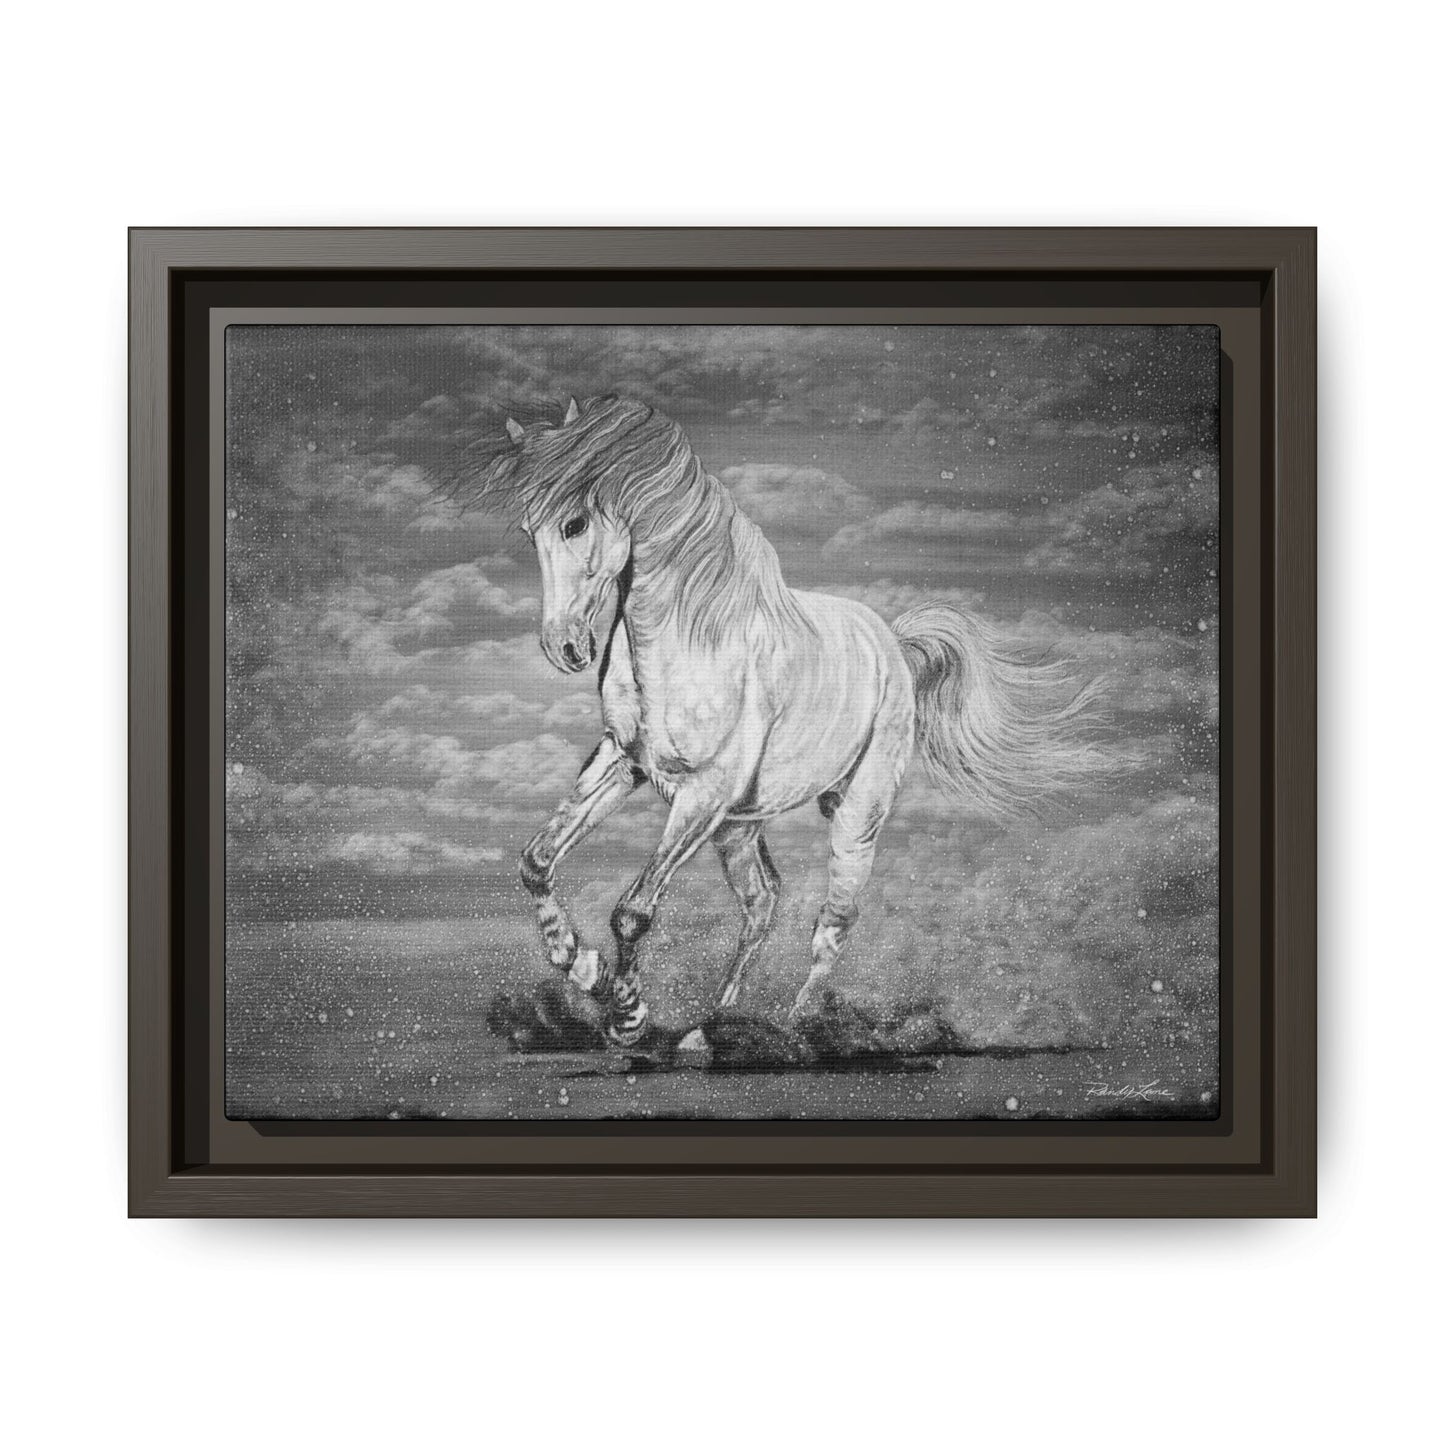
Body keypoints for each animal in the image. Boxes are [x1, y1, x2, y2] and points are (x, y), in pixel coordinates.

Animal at [454, 394, 1108, 1046]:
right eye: (529, 531)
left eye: (575, 524)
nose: (564, 648)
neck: (687, 641)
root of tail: (893, 646)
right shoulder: (624, 764)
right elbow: (537, 863)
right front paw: (582, 968)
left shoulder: (702, 794)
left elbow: (633, 911)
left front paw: (627, 1015)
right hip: (738, 827)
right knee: (762, 902)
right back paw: (711, 1025)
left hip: (853, 817)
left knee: (832, 925)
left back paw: (797, 1025)